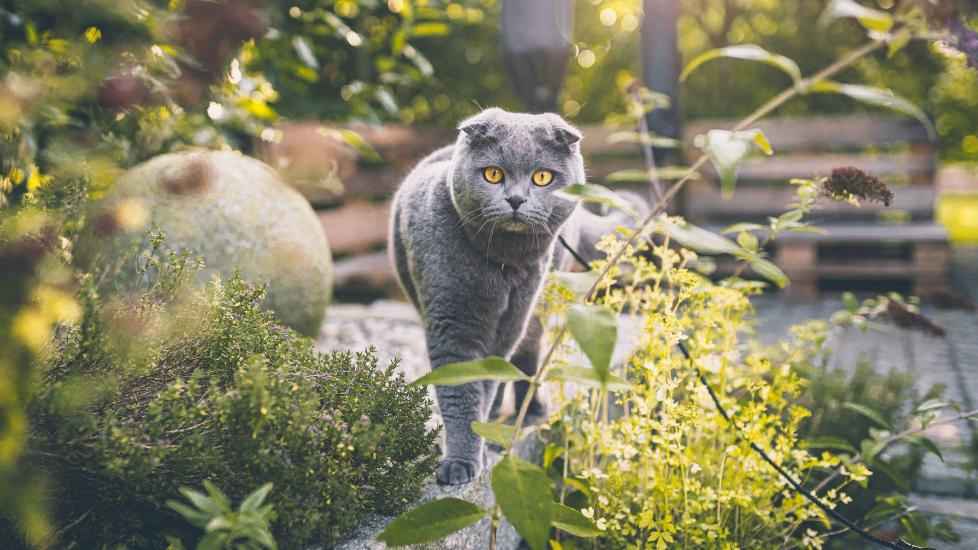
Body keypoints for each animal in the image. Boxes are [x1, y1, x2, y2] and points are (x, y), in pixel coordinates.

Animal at [388, 109, 640, 488]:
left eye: (542, 177)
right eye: (493, 174)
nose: (517, 199)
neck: (502, 265)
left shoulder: (508, 324)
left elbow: (485, 382)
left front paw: (472, 448)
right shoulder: (452, 324)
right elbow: (461, 391)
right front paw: (460, 459)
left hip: (537, 305)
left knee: (530, 355)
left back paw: (529, 409)